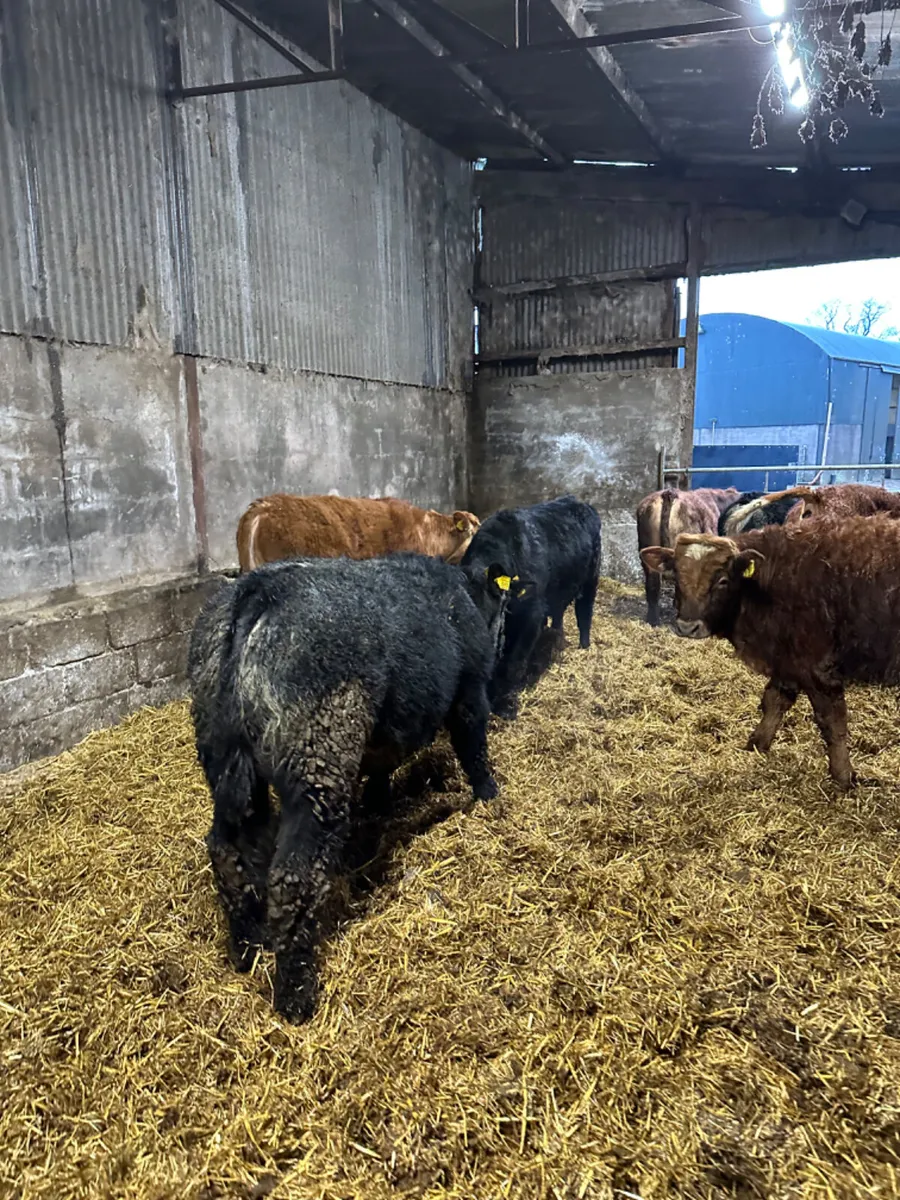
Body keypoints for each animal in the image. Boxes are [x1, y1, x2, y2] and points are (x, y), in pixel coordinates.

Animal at [188, 552, 521, 1022]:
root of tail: (258, 591)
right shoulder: (470, 692)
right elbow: (474, 749)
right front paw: (489, 795)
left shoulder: (382, 737)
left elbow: (381, 770)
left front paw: (379, 806)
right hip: (318, 760)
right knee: (293, 877)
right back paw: (296, 997)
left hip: (226, 762)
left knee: (229, 853)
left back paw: (247, 948)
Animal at [460, 495, 602, 720]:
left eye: (491, 617)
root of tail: (578, 501)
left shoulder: (532, 616)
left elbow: (513, 664)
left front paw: (506, 706)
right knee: (559, 612)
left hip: (591, 578)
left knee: (584, 613)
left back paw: (584, 646)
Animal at [640, 515, 900, 789]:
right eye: (676, 578)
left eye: (722, 581)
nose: (688, 627)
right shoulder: (785, 660)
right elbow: (774, 701)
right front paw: (756, 744)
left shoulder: (818, 668)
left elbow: (832, 722)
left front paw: (843, 776)